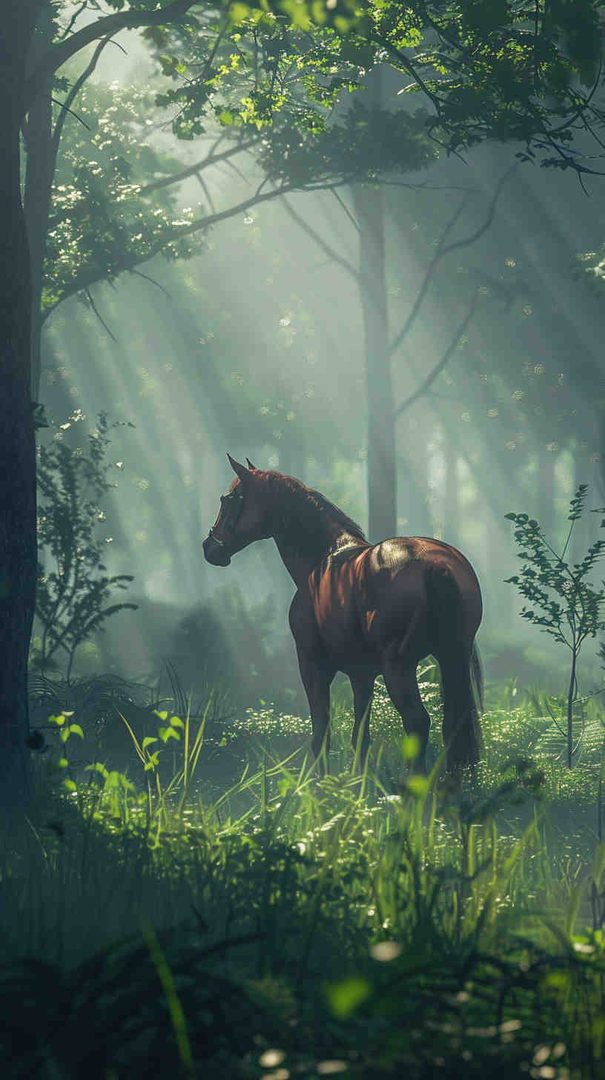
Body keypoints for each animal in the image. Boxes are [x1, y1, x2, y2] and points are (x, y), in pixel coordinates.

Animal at [203, 455, 483, 774]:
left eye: (228, 499)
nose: (209, 548)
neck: (323, 560)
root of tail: (436, 565)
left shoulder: (313, 667)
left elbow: (321, 736)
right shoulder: (362, 675)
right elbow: (360, 738)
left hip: (399, 668)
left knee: (418, 723)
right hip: (451, 657)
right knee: (455, 728)